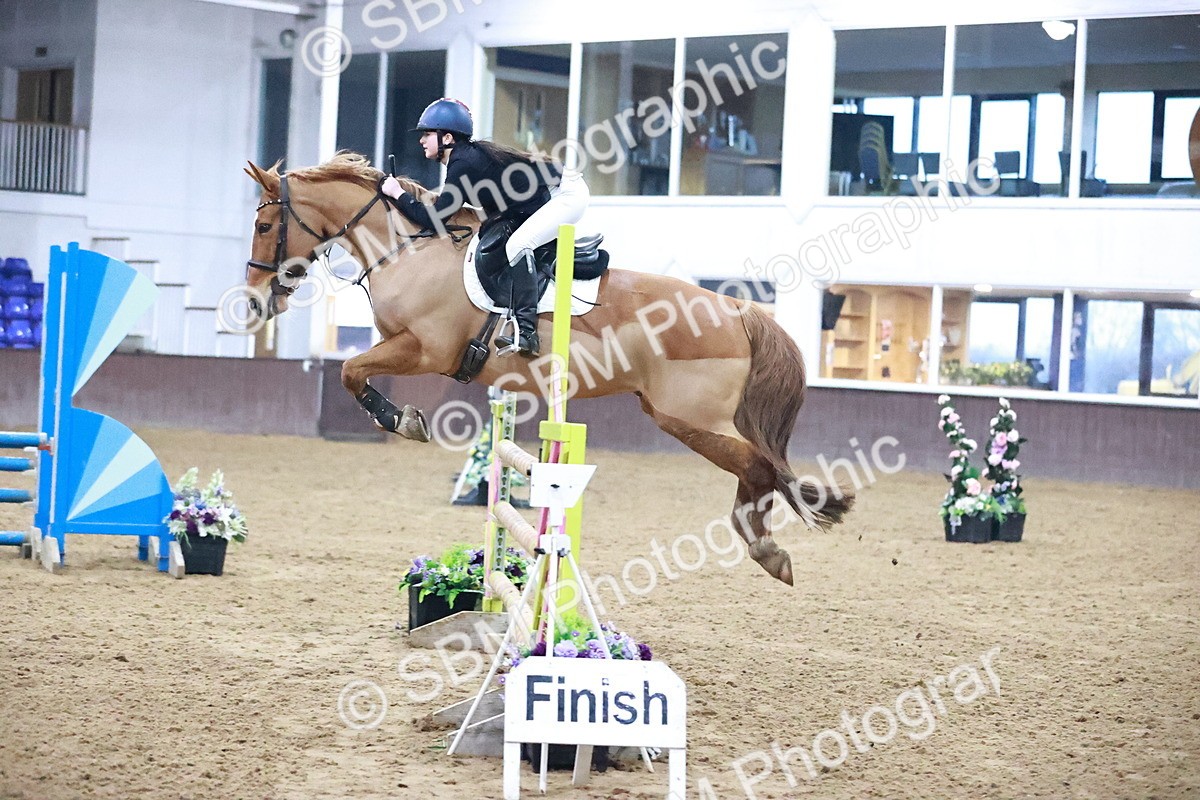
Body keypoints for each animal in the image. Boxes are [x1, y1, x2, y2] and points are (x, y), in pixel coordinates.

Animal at [240, 152, 852, 585]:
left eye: (266, 227)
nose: (253, 303)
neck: (408, 249)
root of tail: (739, 310)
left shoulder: (424, 349)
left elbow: (350, 371)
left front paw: (402, 421)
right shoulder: (404, 345)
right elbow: (354, 368)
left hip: (687, 418)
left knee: (760, 465)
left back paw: (767, 550)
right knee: (761, 465)